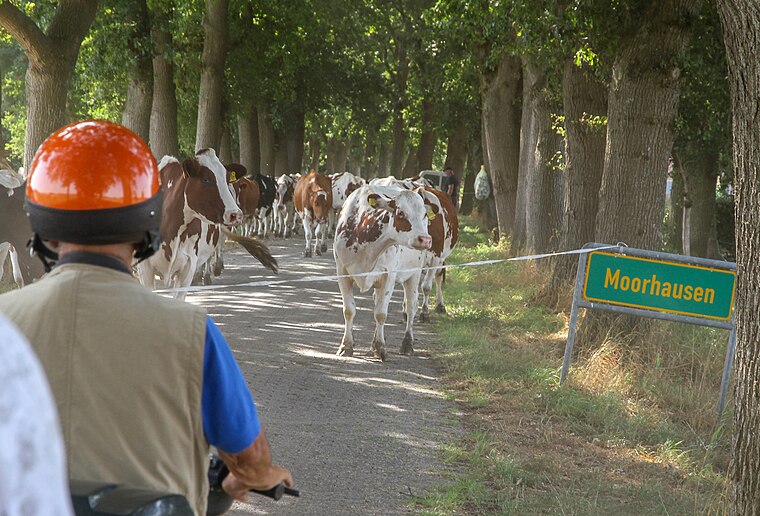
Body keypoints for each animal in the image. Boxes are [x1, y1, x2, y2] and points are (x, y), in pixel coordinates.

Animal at [334, 183, 434, 360]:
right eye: (400, 212)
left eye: (424, 214)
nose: (425, 239)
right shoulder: (342, 272)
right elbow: (349, 311)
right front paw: (346, 345)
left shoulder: (388, 276)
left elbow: (381, 314)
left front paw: (381, 348)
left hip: (414, 273)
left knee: (411, 307)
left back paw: (407, 344)